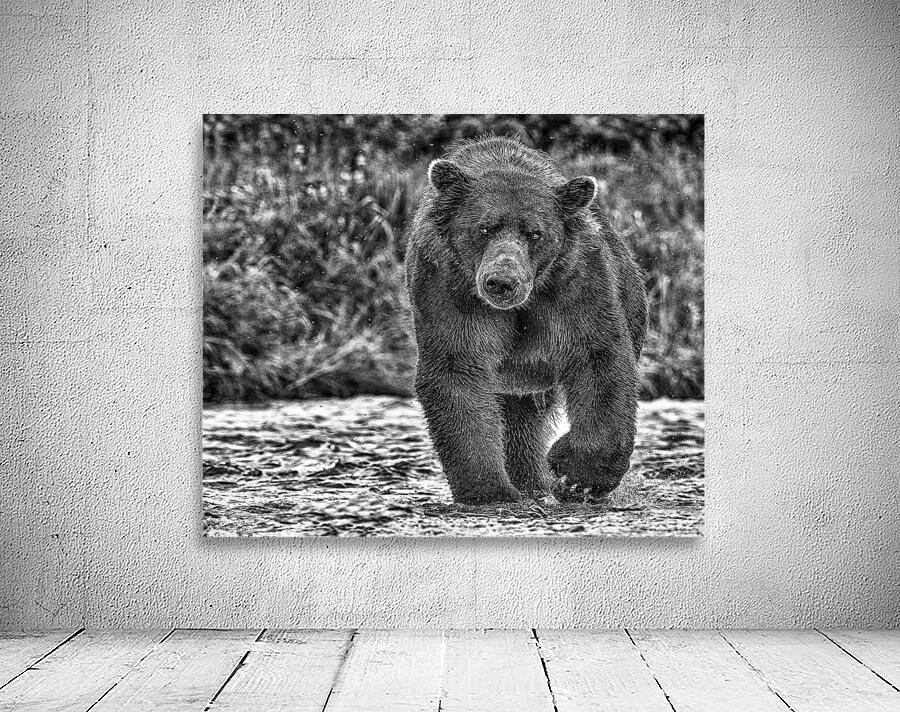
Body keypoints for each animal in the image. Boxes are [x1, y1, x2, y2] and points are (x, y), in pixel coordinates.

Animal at [405, 136, 647, 504]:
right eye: (484, 228)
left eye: (535, 233)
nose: (502, 281)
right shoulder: (450, 286)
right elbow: (457, 370)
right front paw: (489, 489)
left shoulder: (573, 286)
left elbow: (597, 359)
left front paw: (576, 474)